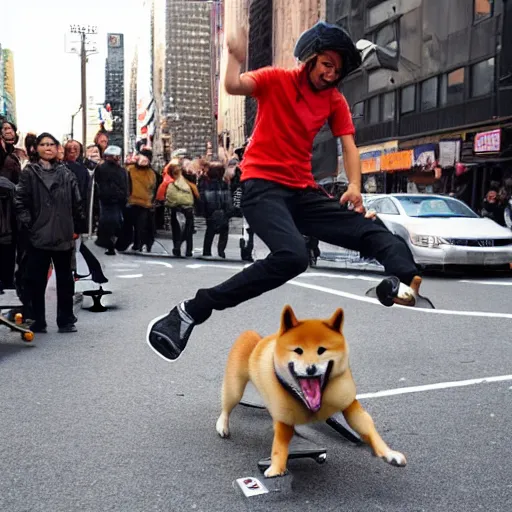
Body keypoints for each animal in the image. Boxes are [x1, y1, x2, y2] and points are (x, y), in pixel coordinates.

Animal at [214, 306, 406, 478]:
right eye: (297, 350)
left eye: (322, 350)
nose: (310, 368)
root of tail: (255, 338)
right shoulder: (284, 418)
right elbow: (280, 445)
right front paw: (277, 467)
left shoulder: (349, 405)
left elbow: (368, 427)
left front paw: (389, 453)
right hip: (234, 388)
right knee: (227, 406)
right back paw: (223, 424)